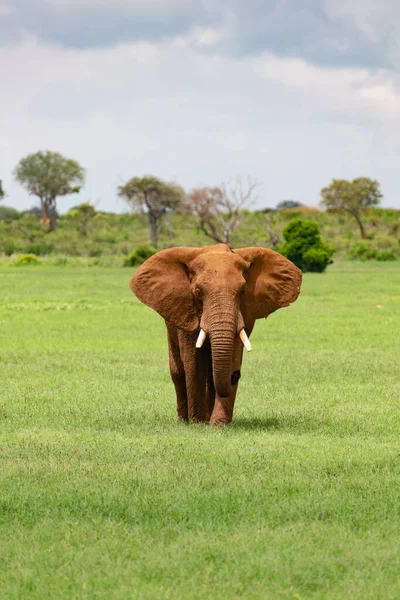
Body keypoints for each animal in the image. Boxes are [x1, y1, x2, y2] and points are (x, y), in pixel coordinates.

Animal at [130, 244, 302, 426]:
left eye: (243, 291)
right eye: (198, 292)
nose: (235, 375)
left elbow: (232, 355)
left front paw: (219, 425)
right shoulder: (186, 310)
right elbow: (194, 362)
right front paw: (198, 423)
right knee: (177, 371)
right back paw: (184, 420)